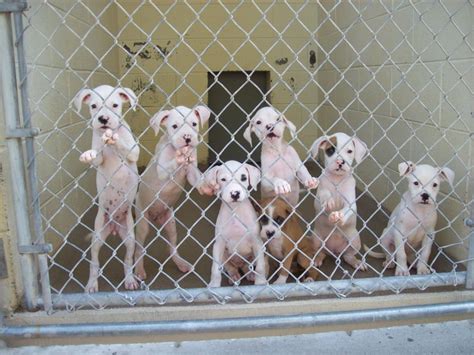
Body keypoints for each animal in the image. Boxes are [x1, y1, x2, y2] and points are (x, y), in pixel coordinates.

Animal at [75, 85, 140, 294]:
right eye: (94, 106)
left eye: (115, 105)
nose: (103, 119)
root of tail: (113, 227)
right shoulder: (100, 156)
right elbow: (96, 156)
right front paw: (88, 155)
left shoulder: (134, 151)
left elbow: (126, 147)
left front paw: (114, 138)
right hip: (97, 238)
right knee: (94, 262)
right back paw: (92, 283)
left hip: (130, 238)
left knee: (128, 260)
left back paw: (130, 280)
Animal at [132, 105, 208, 280]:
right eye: (174, 126)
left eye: (194, 124)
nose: (187, 137)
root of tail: (155, 218)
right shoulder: (162, 169)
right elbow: (170, 165)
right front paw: (178, 159)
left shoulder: (191, 171)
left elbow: (197, 178)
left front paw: (207, 186)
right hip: (142, 223)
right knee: (139, 250)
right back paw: (139, 270)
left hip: (171, 224)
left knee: (171, 248)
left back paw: (181, 263)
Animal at [312, 132, 370, 272]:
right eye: (330, 150)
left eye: (349, 151)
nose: (340, 161)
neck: (337, 179)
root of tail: (334, 252)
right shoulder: (319, 198)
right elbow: (324, 194)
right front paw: (328, 201)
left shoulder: (351, 203)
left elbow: (348, 208)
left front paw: (339, 215)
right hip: (316, 239)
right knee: (320, 252)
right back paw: (317, 259)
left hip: (355, 240)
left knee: (348, 255)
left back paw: (356, 262)